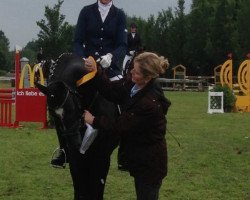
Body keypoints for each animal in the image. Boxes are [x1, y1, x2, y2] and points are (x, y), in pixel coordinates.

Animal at [35, 52, 120, 199]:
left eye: (72, 108)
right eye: (53, 114)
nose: (75, 143)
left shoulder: (101, 154)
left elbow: (96, 186)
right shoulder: (76, 156)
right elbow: (80, 187)